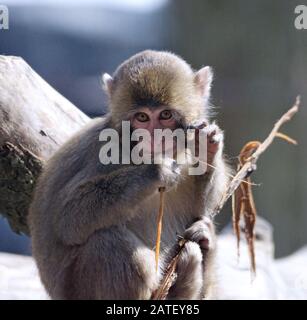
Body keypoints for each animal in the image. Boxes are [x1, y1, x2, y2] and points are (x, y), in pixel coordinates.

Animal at [29, 50, 231, 300]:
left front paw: (206, 148)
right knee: (105, 239)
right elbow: (68, 218)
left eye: (165, 115)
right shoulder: (102, 151)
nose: (154, 137)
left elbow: (203, 208)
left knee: (192, 249)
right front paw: (155, 171)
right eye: (142, 118)